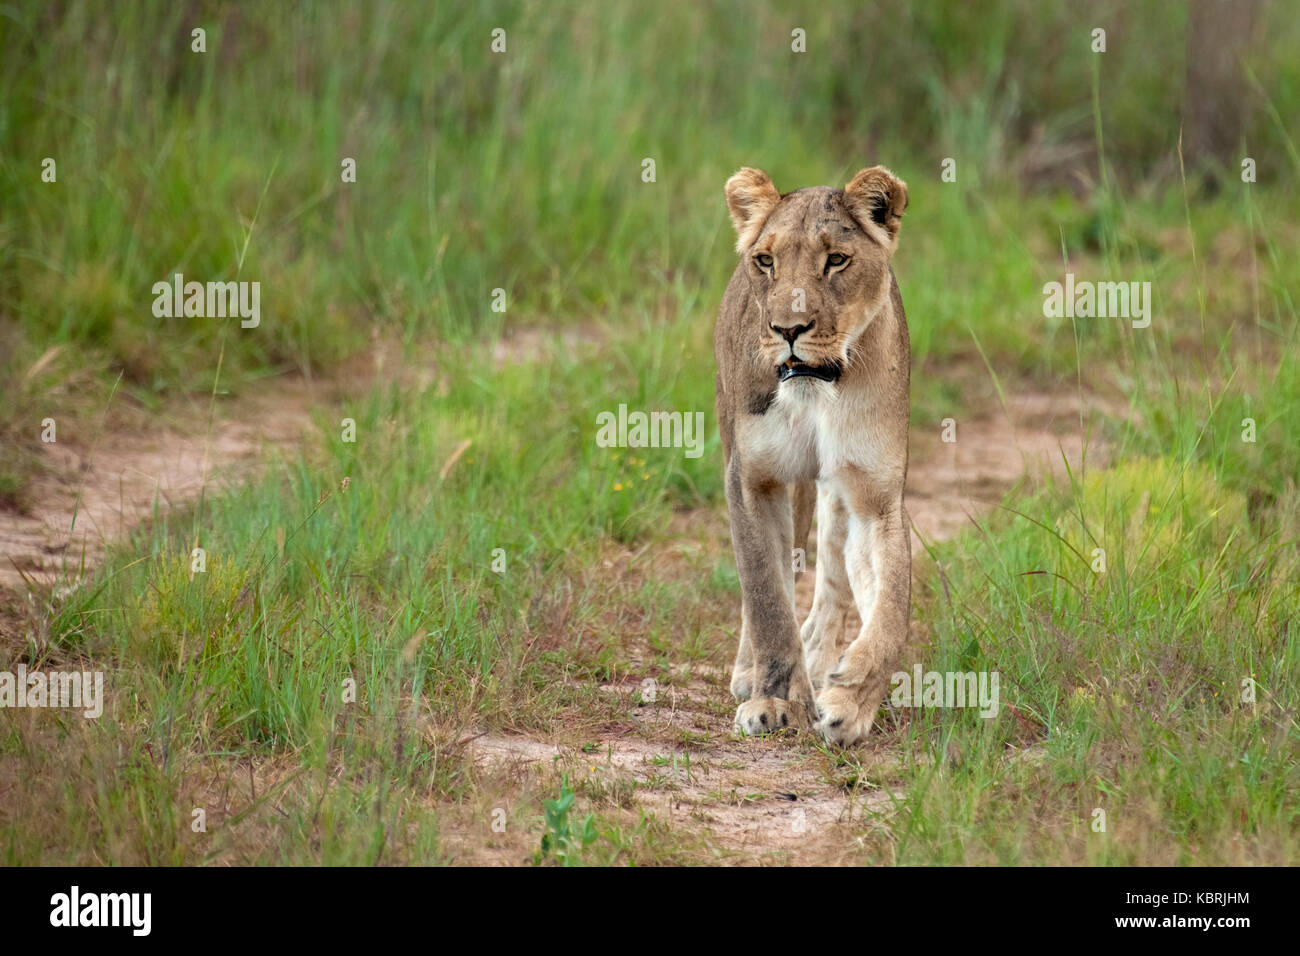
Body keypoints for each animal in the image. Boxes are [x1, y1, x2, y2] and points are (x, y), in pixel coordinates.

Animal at [714, 165, 911, 747]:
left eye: (836, 260)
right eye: (766, 261)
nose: (788, 331)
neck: (818, 392)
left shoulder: (876, 497)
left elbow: (891, 611)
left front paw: (849, 703)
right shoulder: (751, 480)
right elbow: (766, 596)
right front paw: (774, 701)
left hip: (834, 495)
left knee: (833, 582)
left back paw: (824, 664)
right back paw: (749, 673)